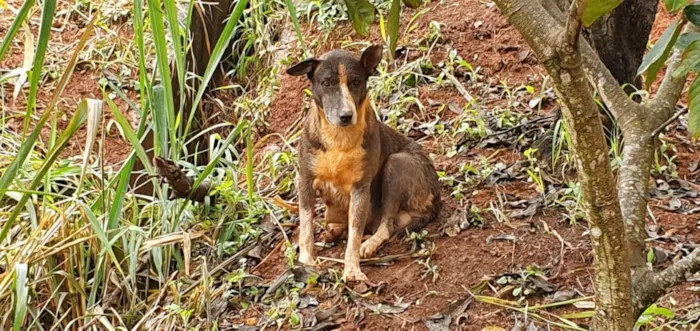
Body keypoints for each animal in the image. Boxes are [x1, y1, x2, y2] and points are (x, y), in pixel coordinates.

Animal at [286, 44, 440, 282]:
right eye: (326, 82)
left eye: (356, 82)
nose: (346, 116)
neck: (339, 138)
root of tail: (437, 196)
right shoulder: (305, 179)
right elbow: (305, 226)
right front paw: (306, 260)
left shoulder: (360, 189)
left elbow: (355, 235)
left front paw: (352, 269)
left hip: (397, 164)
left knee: (386, 225)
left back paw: (368, 244)